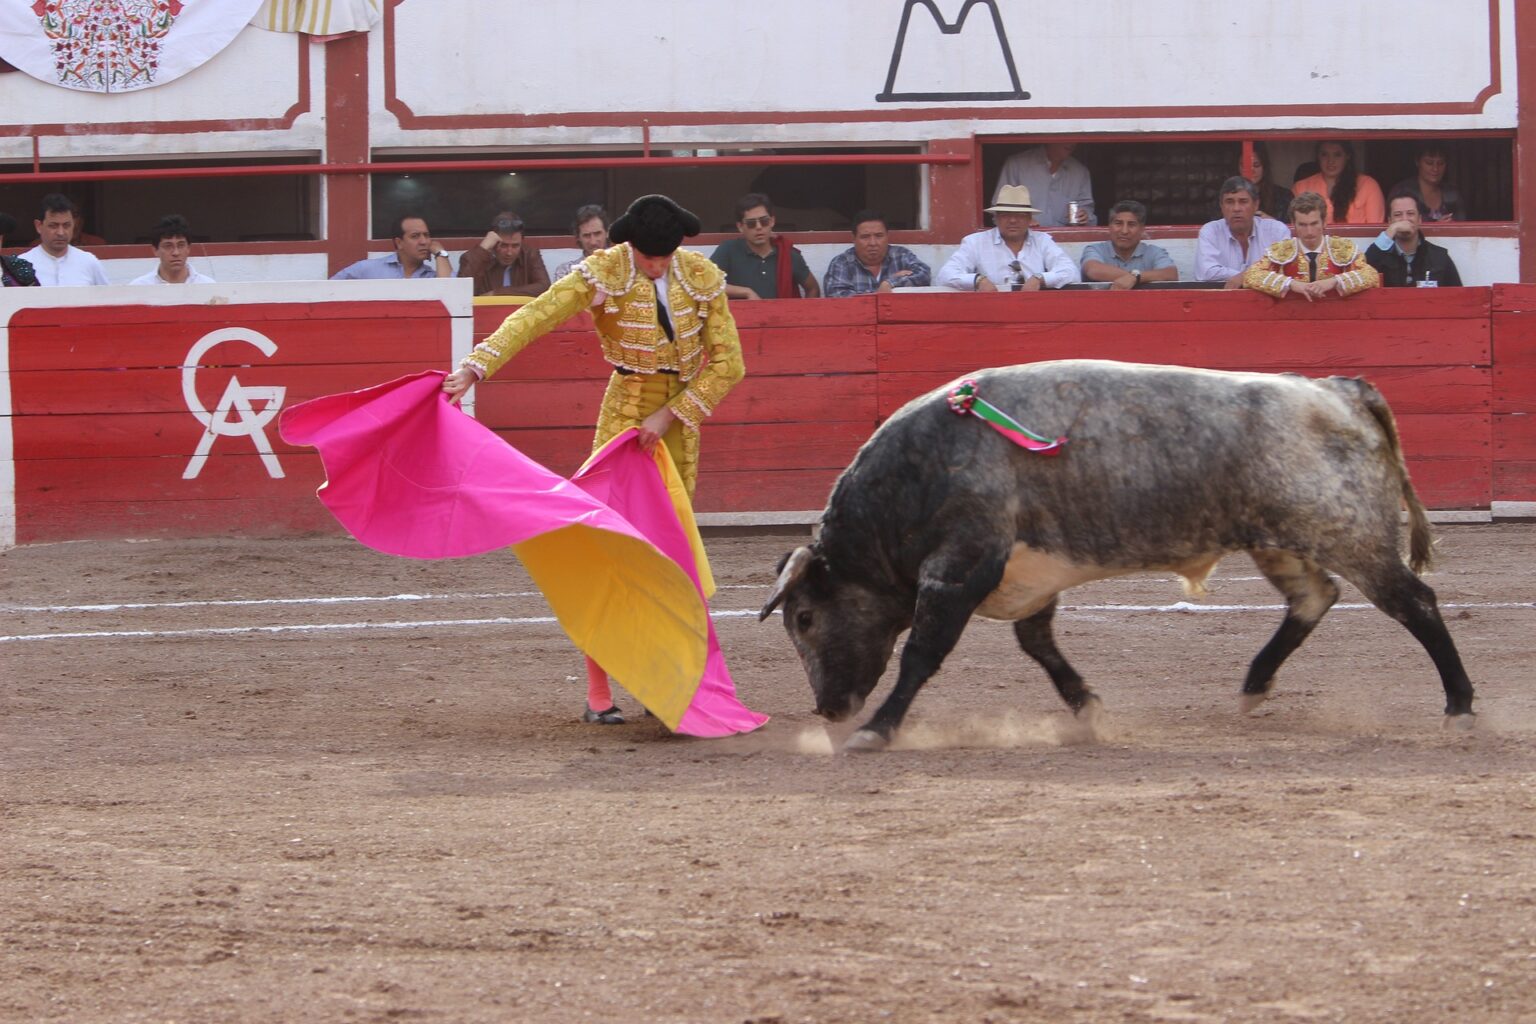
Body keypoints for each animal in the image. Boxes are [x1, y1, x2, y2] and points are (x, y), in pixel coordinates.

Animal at [764, 360, 1474, 752]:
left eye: (804, 618)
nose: (829, 710)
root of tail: (1338, 389)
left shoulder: (960, 568)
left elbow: (921, 654)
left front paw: (876, 731)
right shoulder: (1027, 575)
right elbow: (1040, 646)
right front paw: (1090, 710)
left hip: (1348, 532)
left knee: (1415, 603)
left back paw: (1461, 707)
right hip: (1280, 539)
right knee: (1314, 596)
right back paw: (1253, 686)